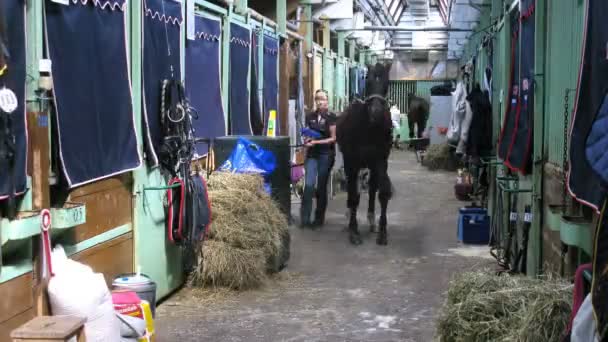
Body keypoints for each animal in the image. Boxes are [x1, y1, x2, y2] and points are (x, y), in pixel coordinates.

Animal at [338, 63, 394, 246]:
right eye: (367, 81)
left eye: (387, 83)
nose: (375, 112)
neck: (369, 129)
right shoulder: (351, 162)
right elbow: (353, 196)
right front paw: (354, 231)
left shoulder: (381, 161)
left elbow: (383, 192)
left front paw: (382, 233)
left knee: (372, 188)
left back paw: (371, 219)